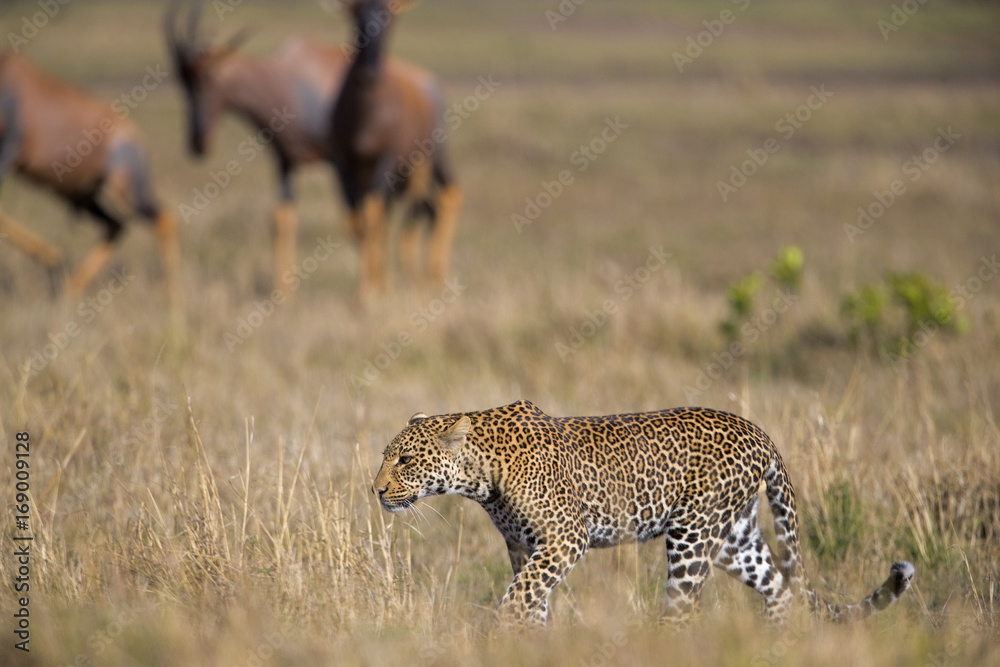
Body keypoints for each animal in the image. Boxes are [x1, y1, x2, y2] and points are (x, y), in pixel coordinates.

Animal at [372, 400, 915, 627]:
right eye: (386, 455)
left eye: (405, 459)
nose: (375, 490)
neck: (481, 474)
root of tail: (760, 433)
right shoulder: (525, 547)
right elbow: (532, 600)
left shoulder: (565, 539)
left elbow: (518, 597)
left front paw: (503, 630)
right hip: (734, 539)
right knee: (780, 589)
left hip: (692, 538)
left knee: (683, 609)